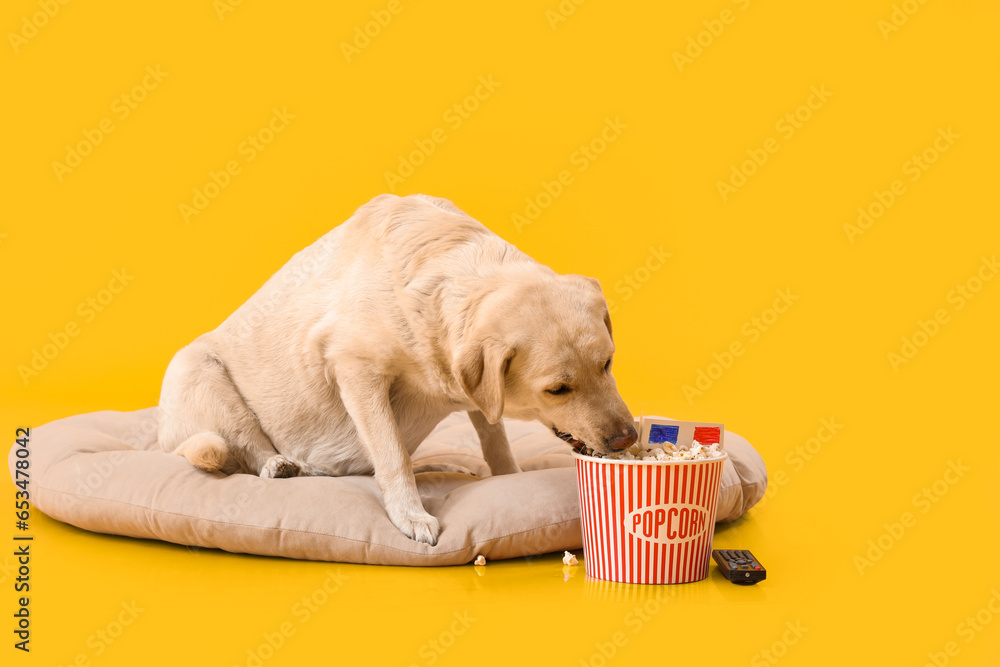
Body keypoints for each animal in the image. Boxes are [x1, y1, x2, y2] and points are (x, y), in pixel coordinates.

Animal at [157, 190, 640, 544]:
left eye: (607, 363)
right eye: (557, 389)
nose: (628, 438)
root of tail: (163, 442)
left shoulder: (471, 389)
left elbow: (495, 438)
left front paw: (508, 477)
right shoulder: (354, 369)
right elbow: (390, 453)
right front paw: (411, 514)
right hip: (195, 368)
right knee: (246, 450)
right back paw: (281, 465)